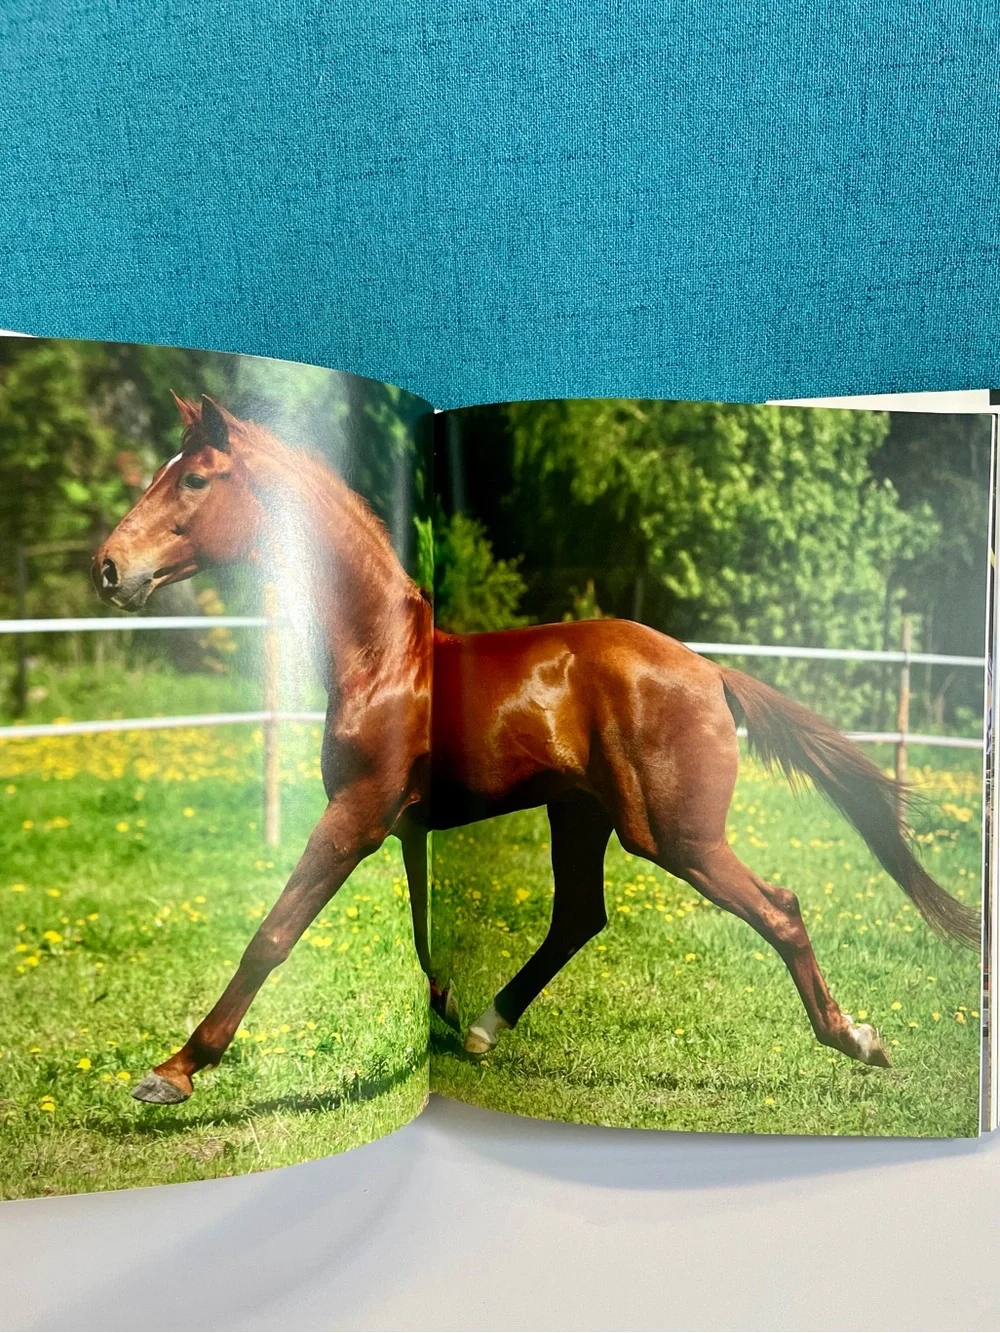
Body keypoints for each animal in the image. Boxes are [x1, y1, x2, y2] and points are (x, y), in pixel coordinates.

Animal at [93, 394, 979, 1103]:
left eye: (195, 479)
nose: (108, 568)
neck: (383, 655)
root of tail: (710, 670)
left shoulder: (357, 814)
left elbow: (272, 935)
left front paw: (172, 1070)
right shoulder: (408, 826)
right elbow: (421, 937)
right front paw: (446, 1012)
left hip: (674, 834)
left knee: (780, 909)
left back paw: (857, 1038)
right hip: (582, 815)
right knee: (580, 915)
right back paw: (487, 1026)